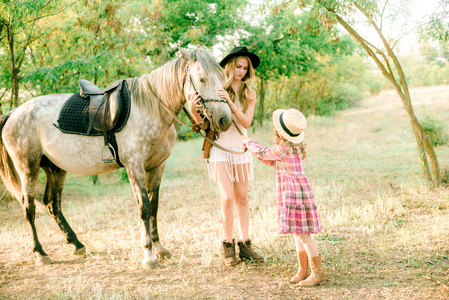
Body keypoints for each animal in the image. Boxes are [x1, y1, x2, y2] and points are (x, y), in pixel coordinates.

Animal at [0, 48, 231, 268]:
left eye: (222, 76)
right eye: (201, 79)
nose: (225, 120)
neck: (150, 108)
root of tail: (13, 114)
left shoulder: (156, 166)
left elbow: (154, 206)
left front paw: (159, 248)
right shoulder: (134, 166)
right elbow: (144, 208)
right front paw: (149, 255)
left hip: (55, 168)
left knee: (52, 203)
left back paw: (77, 244)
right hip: (28, 168)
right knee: (29, 207)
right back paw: (41, 253)